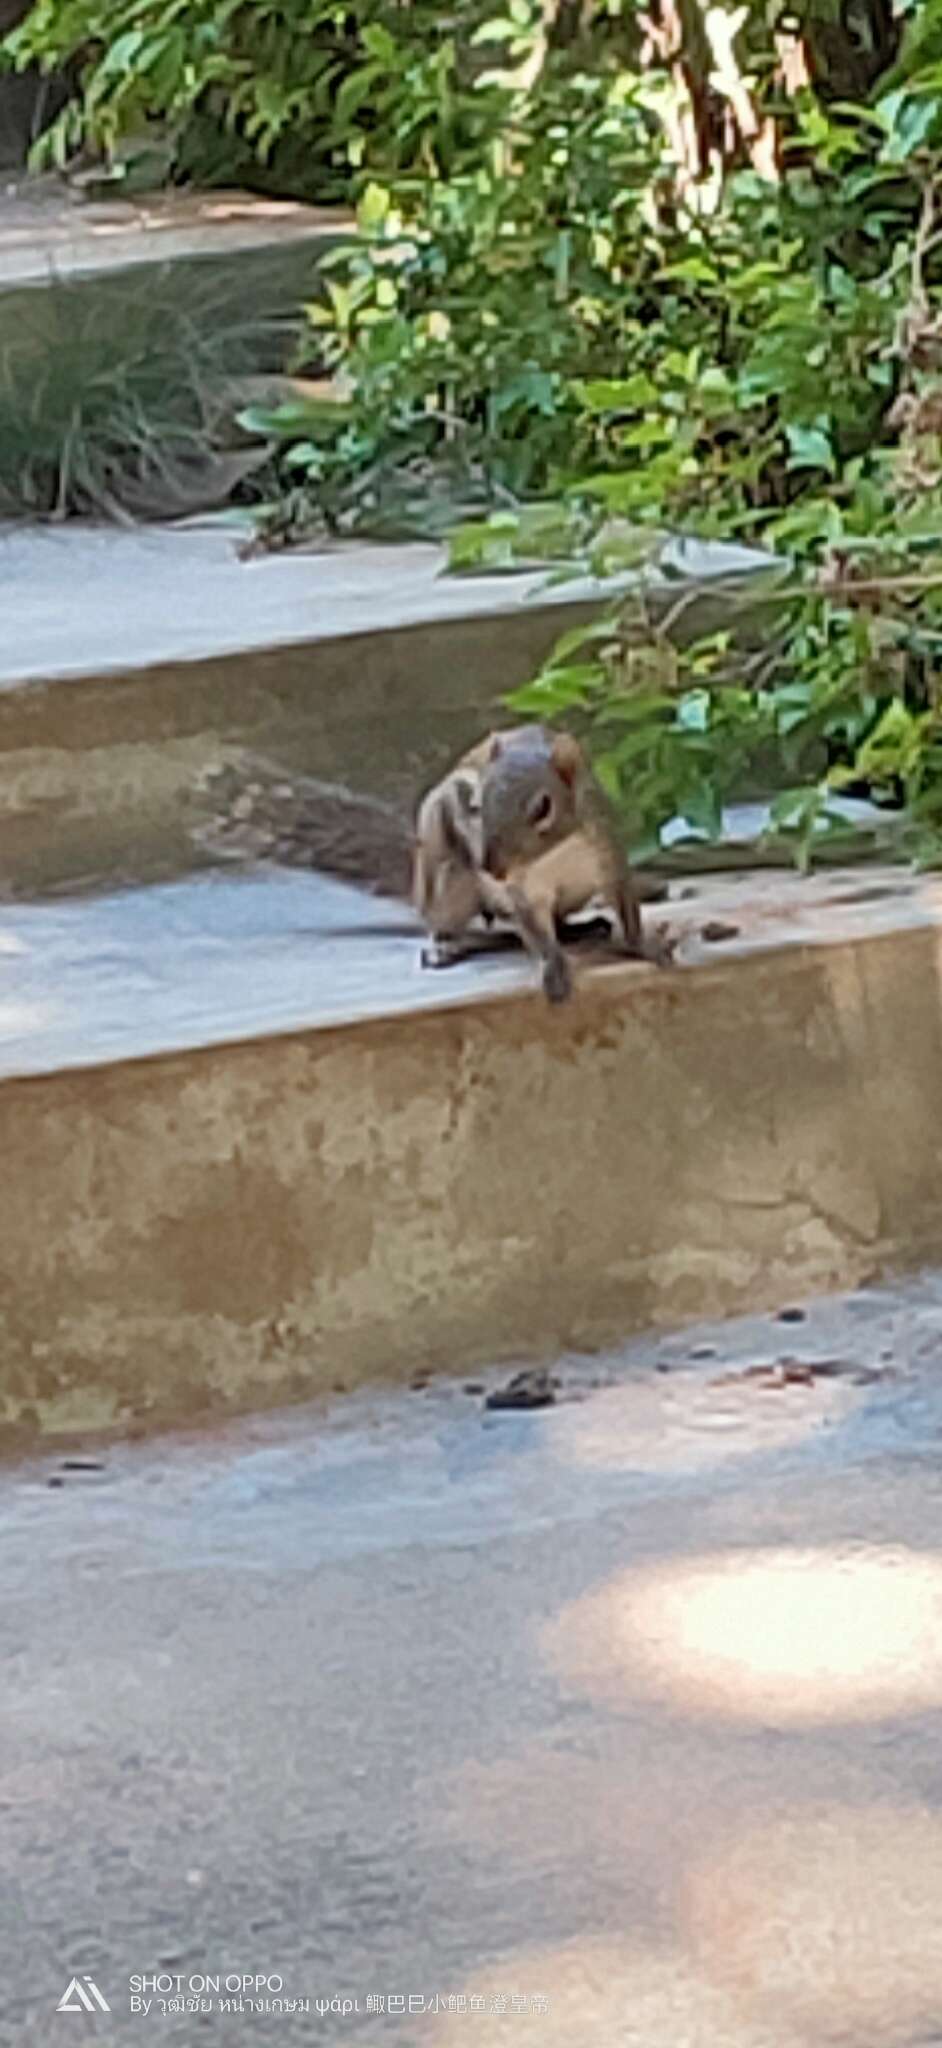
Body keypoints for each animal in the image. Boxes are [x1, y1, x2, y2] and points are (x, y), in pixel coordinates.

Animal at [194, 729, 671, 999]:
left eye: (543, 807)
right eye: (475, 804)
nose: (491, 867)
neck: (552, 854)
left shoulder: (604, 850)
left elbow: (625, 903)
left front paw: (643, 945)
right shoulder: (522, 890)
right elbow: (533, 927)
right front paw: (552, 967)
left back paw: (580, 928)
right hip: (447, 879)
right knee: (452, 922)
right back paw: (451, 944)